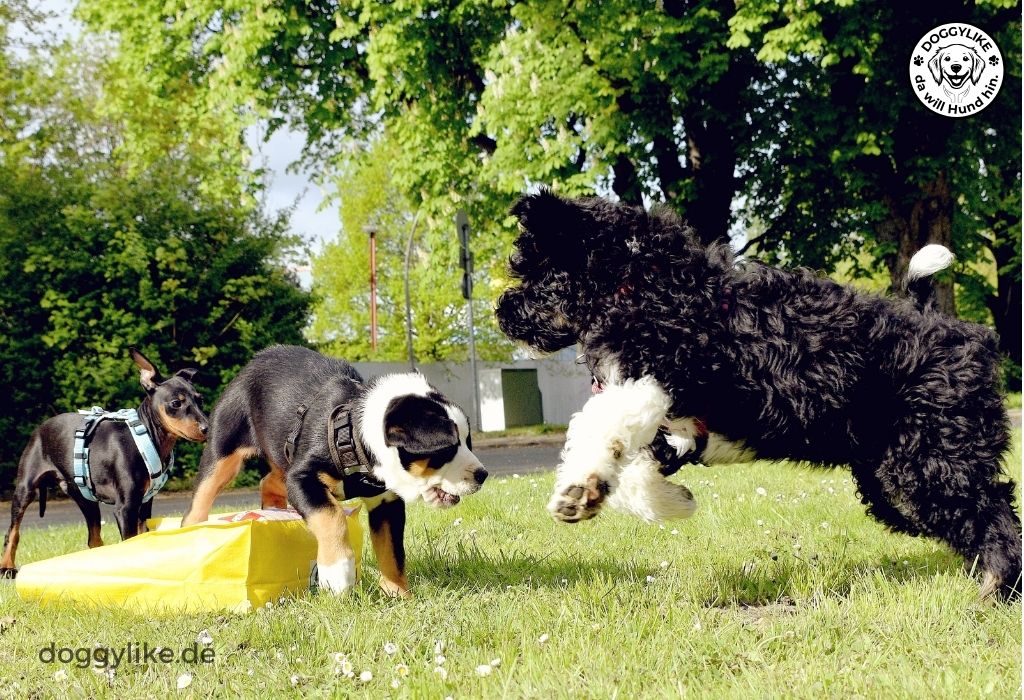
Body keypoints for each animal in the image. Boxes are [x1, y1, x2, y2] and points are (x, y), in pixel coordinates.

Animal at [181, 345, 487, 597]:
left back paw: (274, 511)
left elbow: (392, 552)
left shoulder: (386, 502)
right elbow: (331, 517)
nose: (482, 475)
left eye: (467, 442)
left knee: (268, 480)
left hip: (284, 459)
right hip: (224, 450)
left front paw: (398, 594)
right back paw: (191, 533)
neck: (354, 434)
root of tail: (255, 360)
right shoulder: (303, 479)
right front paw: (337, 572)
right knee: (202, 496)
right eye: (446, 448)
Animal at [493, 192, 1015, 601]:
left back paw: (996, 593)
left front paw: (577, 490)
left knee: (993, 515)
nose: (501, 312)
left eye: (533, 274)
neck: (641, 284)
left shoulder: (653, 381)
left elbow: (596, 426)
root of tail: (953, 330)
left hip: (936, 460)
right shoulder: (663, 422)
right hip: (892, 473)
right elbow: (632, 467)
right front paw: (667, 502)